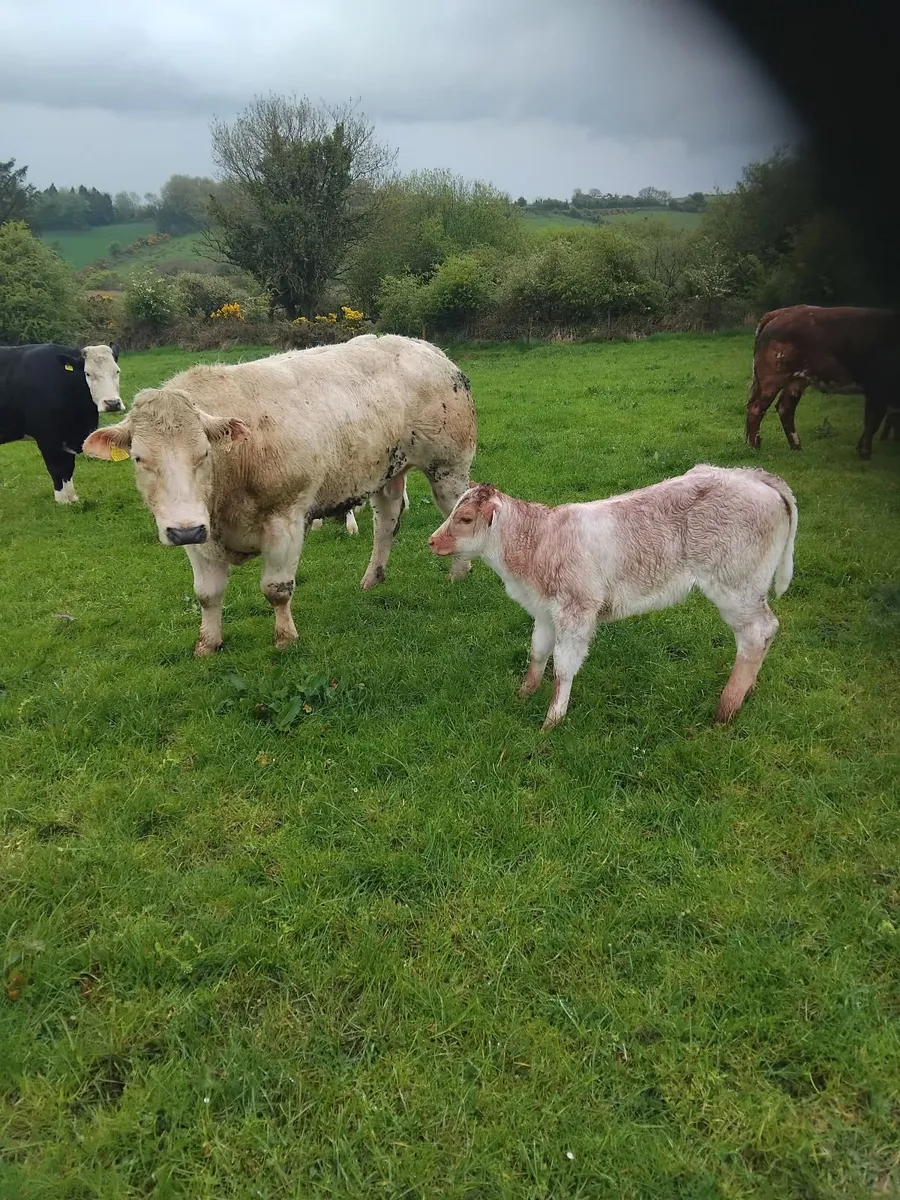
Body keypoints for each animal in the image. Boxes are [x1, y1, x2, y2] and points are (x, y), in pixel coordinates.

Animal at [0, 342, 123, 503]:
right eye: (88, 374)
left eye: (117, 371)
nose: (112, 403)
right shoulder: (47, 438)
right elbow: (56, 467)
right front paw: (62, 500)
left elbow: (68, 467)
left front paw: (72, 498)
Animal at [82, 335, 476, 655]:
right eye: (139, 458)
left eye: (204, 454)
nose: (184, 530)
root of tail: (426, 348)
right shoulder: (198, 532)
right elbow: (207, 594)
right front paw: (207, 644)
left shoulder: (285, 519)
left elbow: (276, 589)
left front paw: (285, 639)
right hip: (385, 472)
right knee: (387, 521)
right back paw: (372, 578)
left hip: (447, 467)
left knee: (453, 509)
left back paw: (459, 573)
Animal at [429, 465, 797, 730]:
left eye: (465, 518)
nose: (431, 541)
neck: (540, 541)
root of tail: (753, 476)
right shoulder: (544, 611)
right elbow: (537, 652)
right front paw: (524, 692)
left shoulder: (576, 611)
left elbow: (564, 666)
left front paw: (552, 720)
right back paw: (746, 693)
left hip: (736, 587)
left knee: (756, 634)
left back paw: (727, 708)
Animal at [745, 304, 900, 459]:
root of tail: (781, 312)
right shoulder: (877, 389)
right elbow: (873, 422)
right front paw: (865, 453)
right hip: (772, 376)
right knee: (756, 407)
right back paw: (754, 447)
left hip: (796, 380)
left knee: (785, 408)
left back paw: (797, 447)